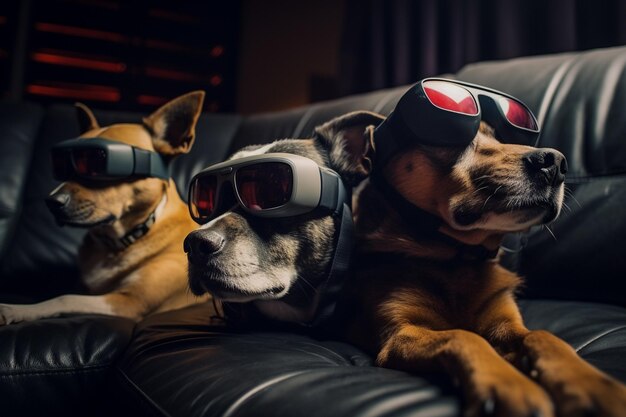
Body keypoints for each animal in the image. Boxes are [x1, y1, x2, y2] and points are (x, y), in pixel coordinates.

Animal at [0, 91, 210, 324]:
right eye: (62, 164)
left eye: (98, 161)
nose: (52, 202)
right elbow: (68, 293)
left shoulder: (130, 301)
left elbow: (64, 298)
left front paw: (15, 309)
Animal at [336, 113, 626, 412]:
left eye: (499, 137)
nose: (556, 162)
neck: (455, 262)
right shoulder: (398, 335)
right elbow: (462, 335)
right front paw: (508, 384)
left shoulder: (506, 322)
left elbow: (543, 335)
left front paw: (590, 384)